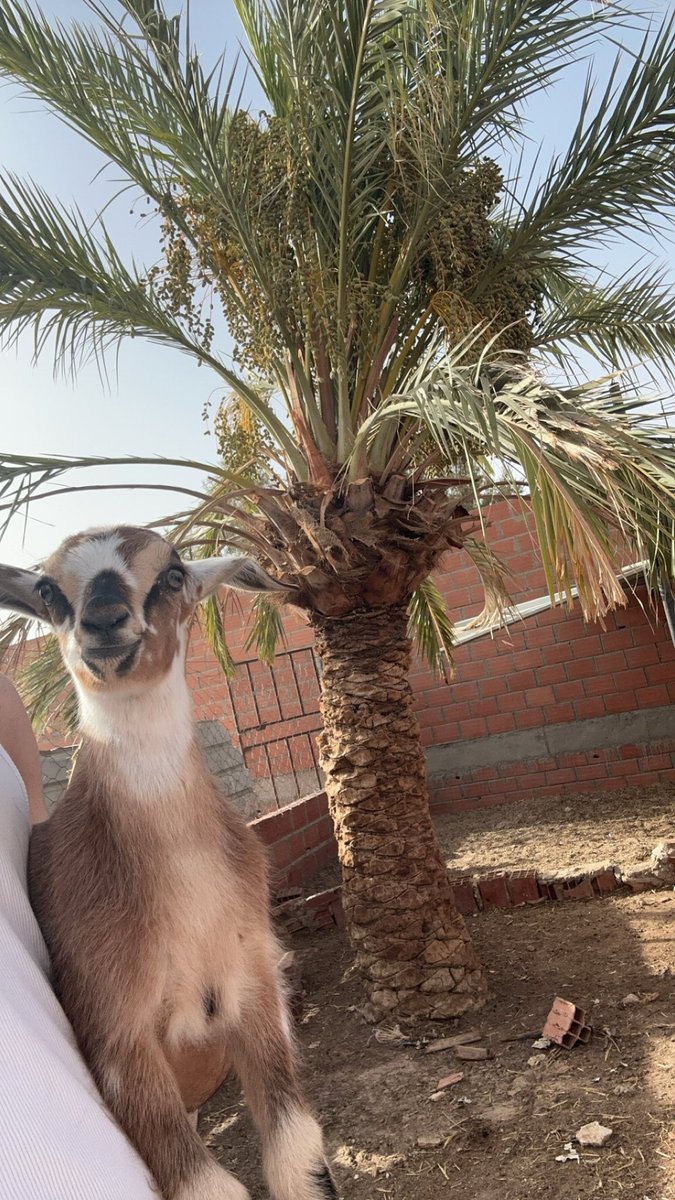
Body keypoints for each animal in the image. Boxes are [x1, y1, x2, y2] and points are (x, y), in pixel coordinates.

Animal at [0, 526, 337, 1200]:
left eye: (174, 573)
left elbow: (298, 1154)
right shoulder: (112, 1023)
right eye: (48, 588)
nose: (104, 622)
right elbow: (204, 1183)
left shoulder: (250, 975)